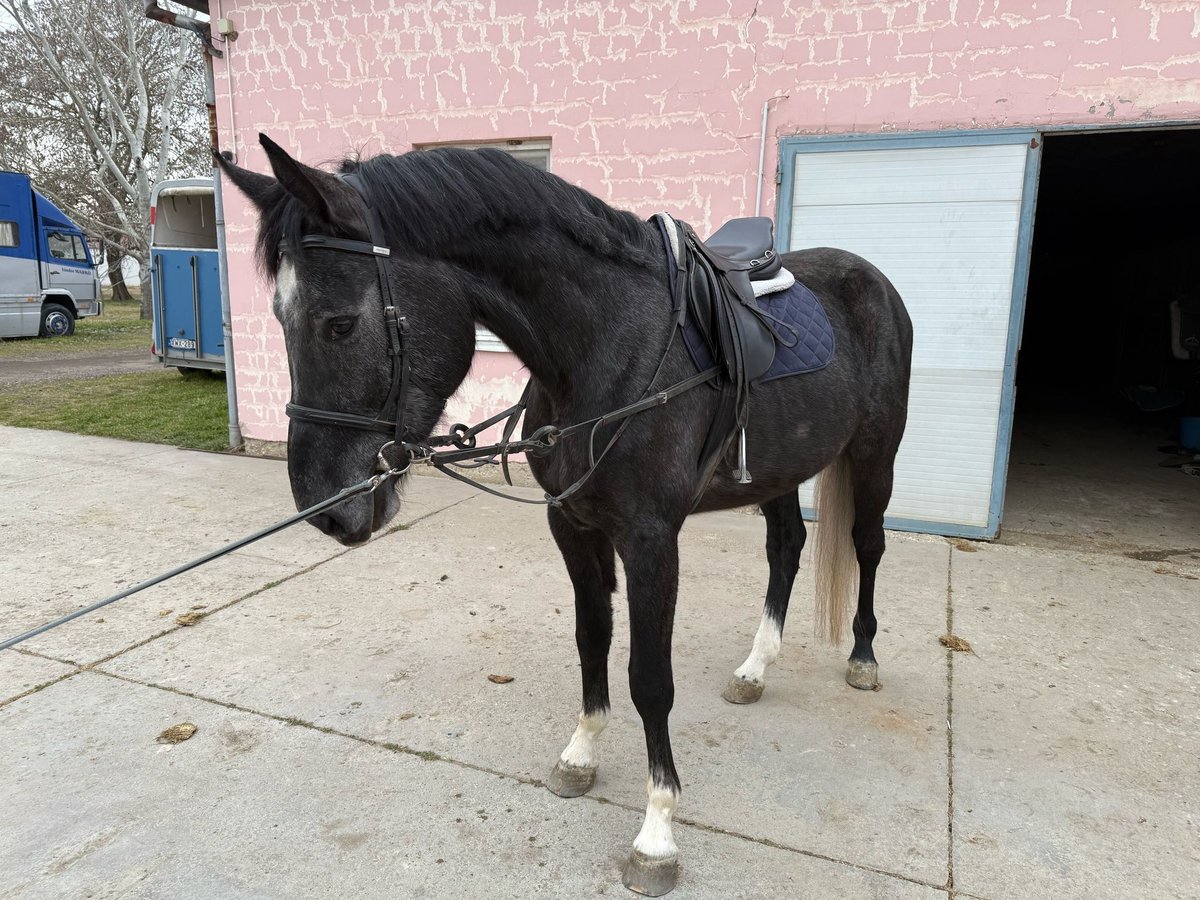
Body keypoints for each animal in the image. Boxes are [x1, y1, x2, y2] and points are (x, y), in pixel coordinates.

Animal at [220, 137, 907, 897]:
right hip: (781, 470)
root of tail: (871, 279)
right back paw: (756, 669)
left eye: (339, 323)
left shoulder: (650, 539)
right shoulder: (573, 526)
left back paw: (864, 656)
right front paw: (581, 754)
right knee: (785, 547)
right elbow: (590, 640)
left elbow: (649, 678)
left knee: (867, 546)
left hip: (875, 454)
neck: (607, 348)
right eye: (279, 321)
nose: (326, 509)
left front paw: (657, 832)